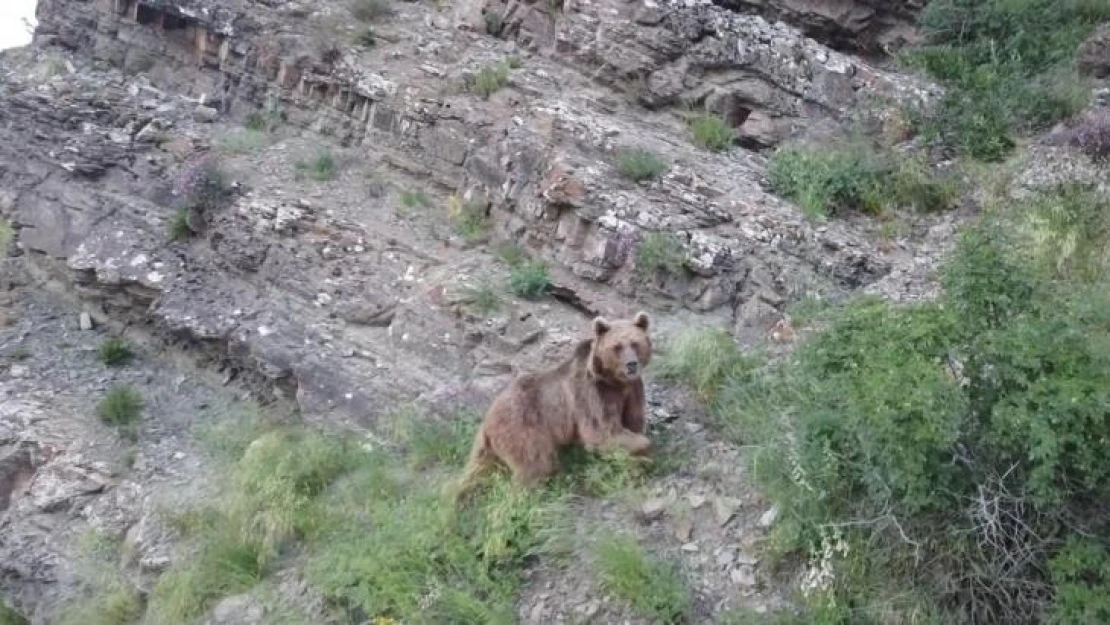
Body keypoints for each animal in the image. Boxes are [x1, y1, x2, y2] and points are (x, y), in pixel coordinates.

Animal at [450, 313, 652, 503]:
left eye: (635, 343)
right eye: (617, 347)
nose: (631, 364)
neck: (616, 382)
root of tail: (488, 418)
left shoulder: (632, 392)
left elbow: (631, 423)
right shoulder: (593, 393)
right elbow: (603, 433)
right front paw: (644, 449)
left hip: (488, 445)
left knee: (476, 471)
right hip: (524, 428)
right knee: (535, 465)